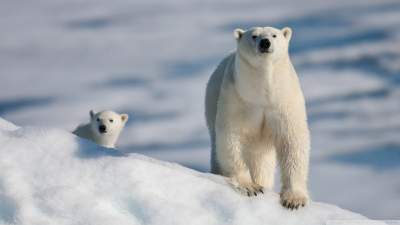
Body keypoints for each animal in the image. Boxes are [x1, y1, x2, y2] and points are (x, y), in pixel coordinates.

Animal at [205, 26, 310, 209]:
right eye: (254, 36)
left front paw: (294, 199)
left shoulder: (284, 100)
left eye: (274, 35)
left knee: (261, 161)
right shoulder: (238, 98)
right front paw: (250, 187)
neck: (263, 94)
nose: (265, 43)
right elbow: (231, 137)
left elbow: (292, 141)